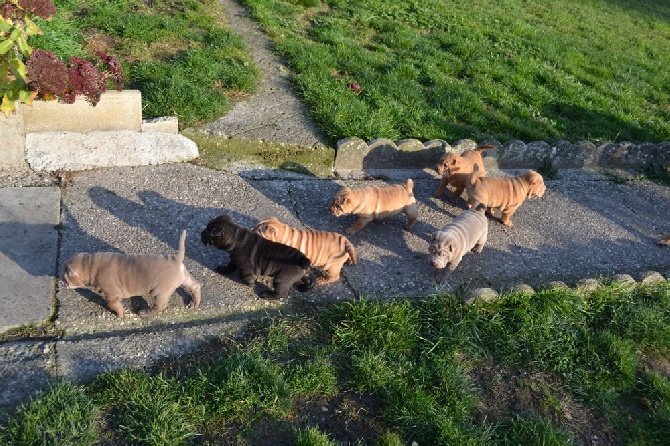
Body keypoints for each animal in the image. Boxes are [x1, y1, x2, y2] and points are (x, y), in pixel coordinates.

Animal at [60, 230, 202, 318]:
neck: (89, 265)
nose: (62, 282)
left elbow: (114, 305)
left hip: (160, 290)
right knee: (195, 286)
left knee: (160, 305)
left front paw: (120, 315)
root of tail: (176, 259)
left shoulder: (111, 294)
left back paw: (144, 313)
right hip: (184, 278)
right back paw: (194, 304)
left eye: (65, 276)